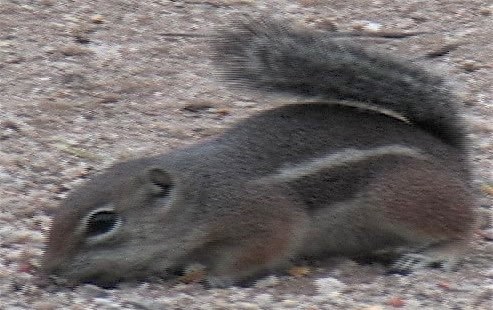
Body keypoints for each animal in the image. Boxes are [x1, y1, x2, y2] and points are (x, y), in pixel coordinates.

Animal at [43, 18, 476, 286]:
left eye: (102, 223)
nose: (48, 269)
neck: (204, 193)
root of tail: (451, 156)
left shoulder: (266, 218)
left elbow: (264, 249)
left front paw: (218, 277)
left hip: (402, 196)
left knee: (461, 230)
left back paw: (435, 254)